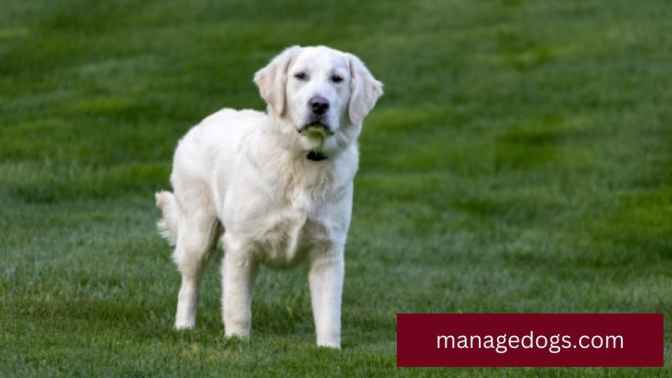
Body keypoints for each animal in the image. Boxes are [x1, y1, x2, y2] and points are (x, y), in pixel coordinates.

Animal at [154, 45, 380, 348]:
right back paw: (184, 327)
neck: (304, 159)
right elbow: (237, 306)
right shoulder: (241, 245)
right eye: (300, 76)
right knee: (189, 284)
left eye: (337, 79)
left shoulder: (328, 249)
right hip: (198, 232)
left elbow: (329, 312)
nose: (319, 105)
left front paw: (329, 349)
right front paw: (237, 342)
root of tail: (202, 123)